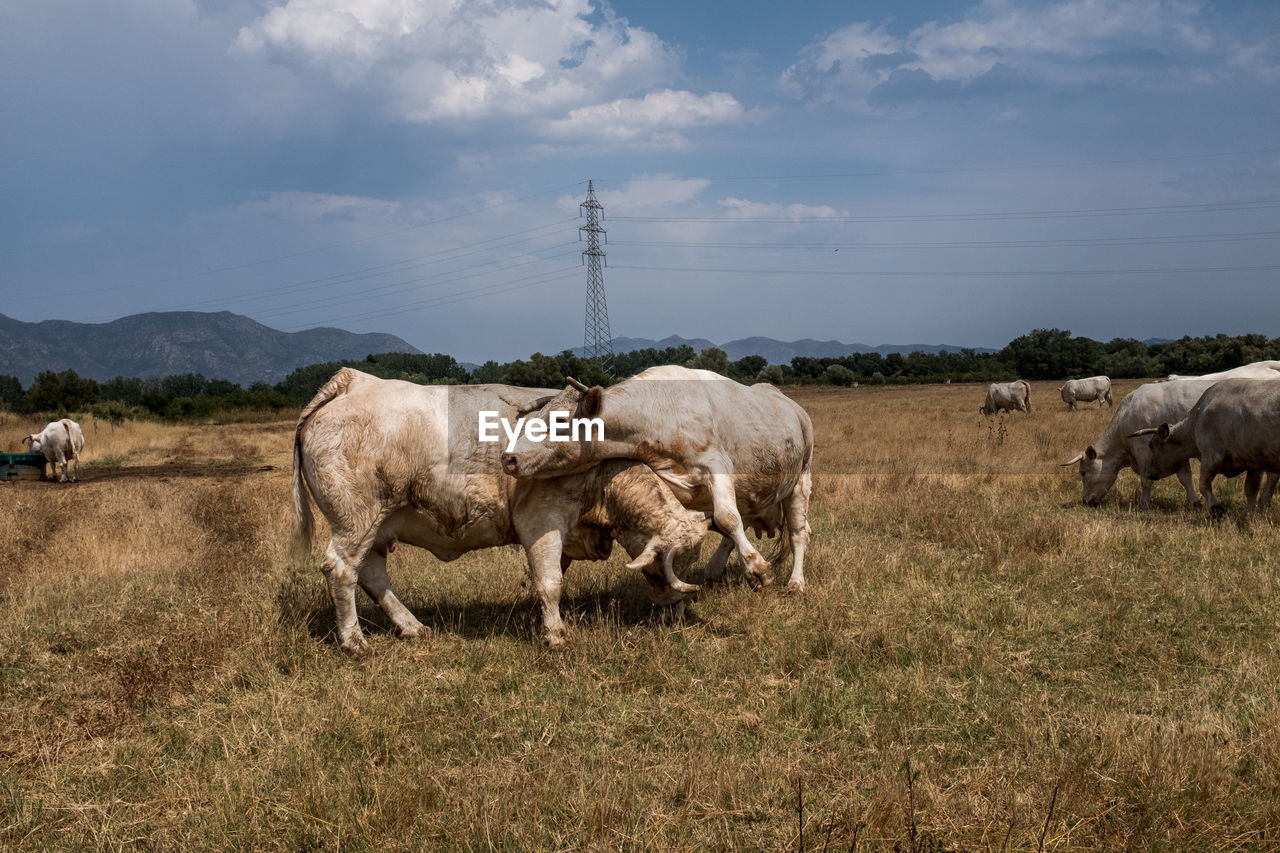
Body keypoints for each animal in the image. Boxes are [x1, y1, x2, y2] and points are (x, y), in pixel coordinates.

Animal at [494, 363, 814, 591]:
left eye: (560, 420)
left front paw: (758, 569)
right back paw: (714, 569)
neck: (659, 413)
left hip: (801, 479)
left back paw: (796, 583)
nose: (509, 458)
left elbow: (727, 519)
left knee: (798, 533)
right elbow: (717, 522)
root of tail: (792, 406)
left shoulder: (716, 466)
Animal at [1131, 376, 1280, 512]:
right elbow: (1251, 489)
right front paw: (1251, 513)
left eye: (1151, 445)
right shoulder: (1254, 461)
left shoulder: (1211, 456)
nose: (1148, 472)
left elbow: (1203, 485)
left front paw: (1216, 509)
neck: (1197, 419)